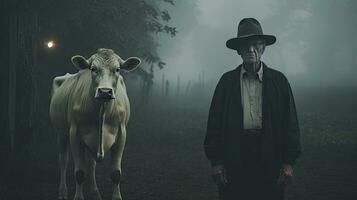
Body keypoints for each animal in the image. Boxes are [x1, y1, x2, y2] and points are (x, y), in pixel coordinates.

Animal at [49, 48, 140, 200]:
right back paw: (62, 192)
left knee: (91, 165)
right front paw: (78, 197)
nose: (105, 91)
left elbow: (116, 173)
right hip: (60, 133)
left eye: (117, 69)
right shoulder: (74, 134)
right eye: (93, 69)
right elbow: (79, 173)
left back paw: (95, 192)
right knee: (63, 161)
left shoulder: (122, 134)